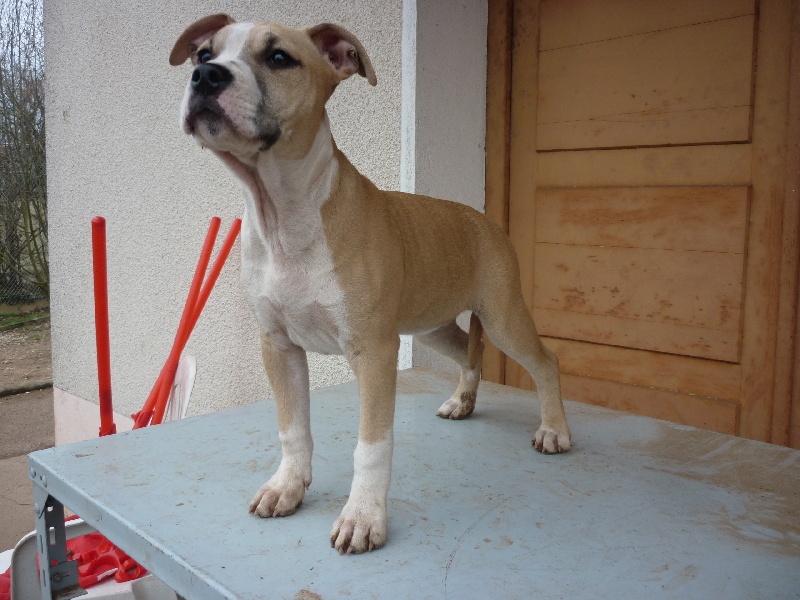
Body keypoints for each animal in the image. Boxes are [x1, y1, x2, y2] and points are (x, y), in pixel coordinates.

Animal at [170, 14, 568, 556]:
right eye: (203, 54)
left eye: (279, 58)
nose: (206, 77)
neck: (284, 214)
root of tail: (483, 219)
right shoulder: (278, 346)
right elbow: (292, 428)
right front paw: (287, 486)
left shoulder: (375, 352)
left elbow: (372, 446)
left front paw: (362, 517)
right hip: (431, 326)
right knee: (471, 348)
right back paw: (462, 401)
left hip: (504, 315)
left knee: (544, 360)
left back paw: (554, 429)